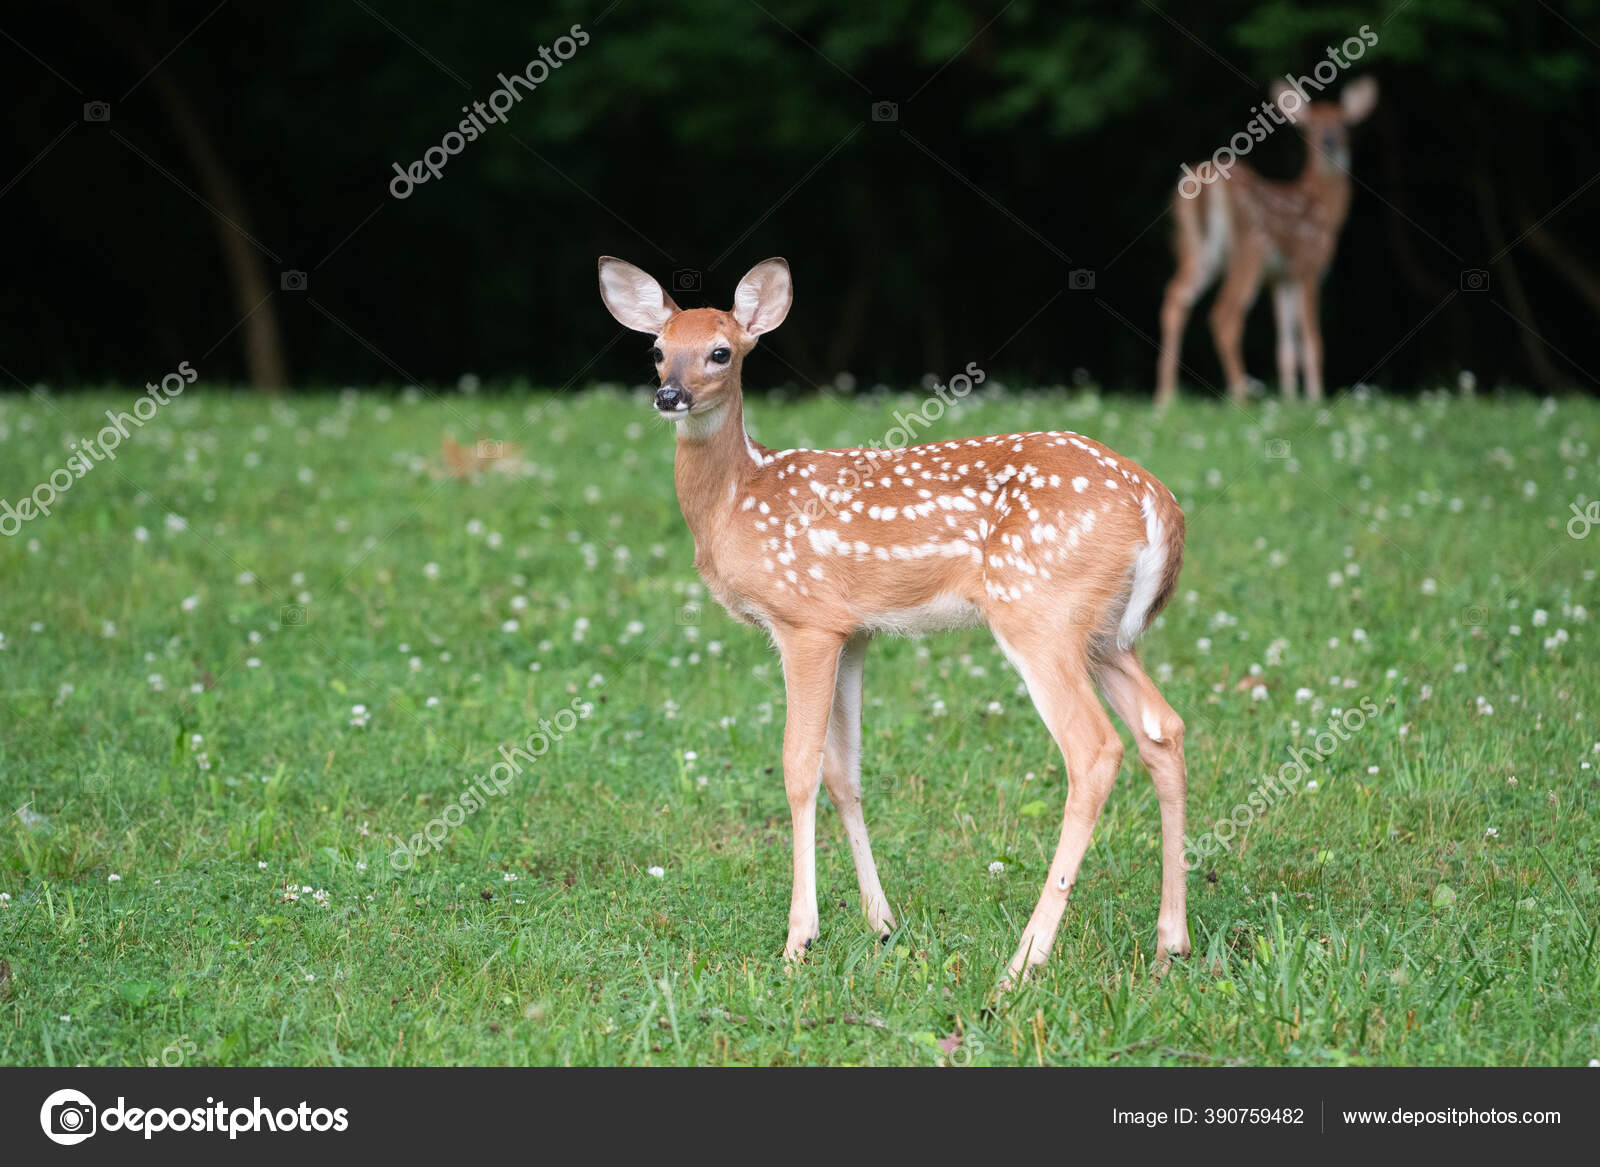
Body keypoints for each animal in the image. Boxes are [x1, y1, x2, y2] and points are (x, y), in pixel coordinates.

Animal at [1164, 77, 1376, 405]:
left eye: (1343, 123)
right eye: (1313, 125)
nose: (1330, 141)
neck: (1323, 206)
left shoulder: (1279, 277)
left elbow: (1286, 346)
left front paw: (1291, 400)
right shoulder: (1306, 265)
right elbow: (1313, 340)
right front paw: (1315, 398)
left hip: (1197, 250)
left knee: (1175, 298)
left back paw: (1164, 399)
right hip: (1248, 247)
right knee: (1224, 315)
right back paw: (1240, 397)